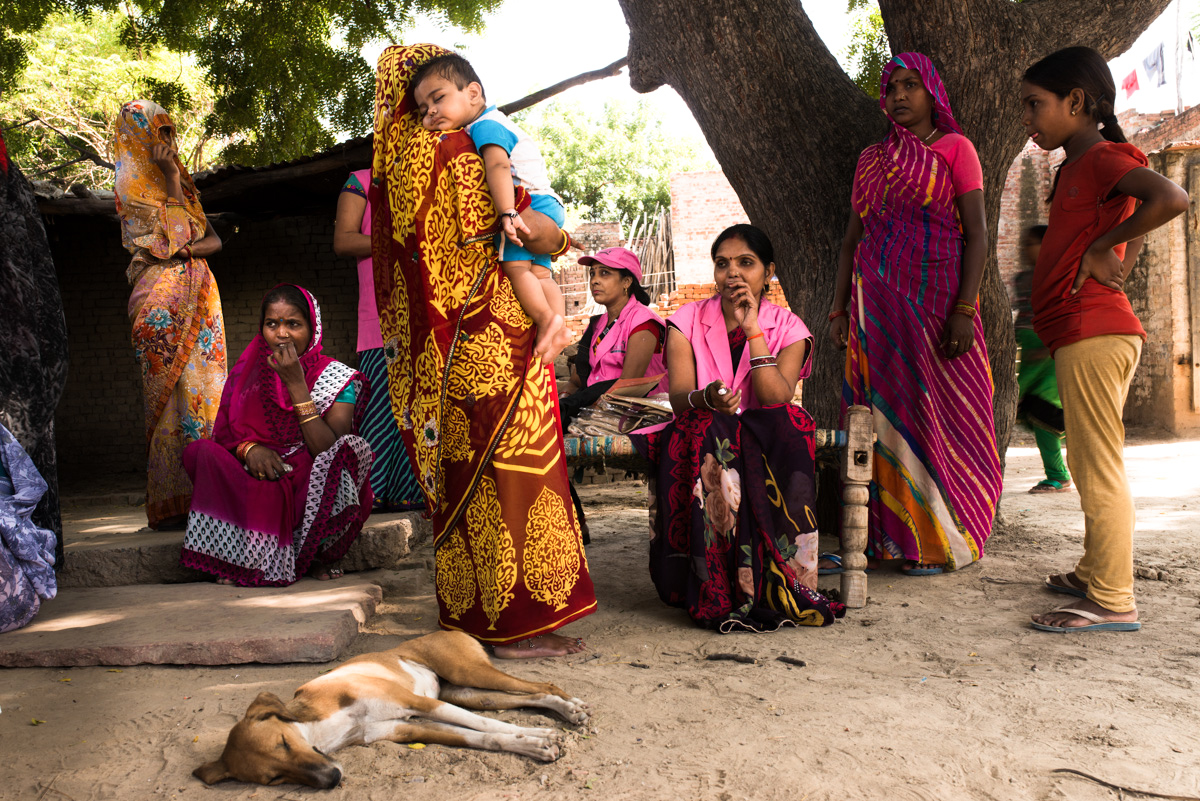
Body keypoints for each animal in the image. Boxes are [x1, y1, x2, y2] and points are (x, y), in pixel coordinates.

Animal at [193, 633, 590, 786]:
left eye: (284, 743)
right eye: (273, 778)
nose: (332, 779)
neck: (321, 727)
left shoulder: (420, 703)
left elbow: (487, 727)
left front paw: (539, 737)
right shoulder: (408, 727)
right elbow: (483, 737)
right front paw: (533, 743)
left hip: (467, 673)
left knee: (544, 686)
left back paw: (572, 709)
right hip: (468, 691)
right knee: (530, 696)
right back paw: (565, 711)